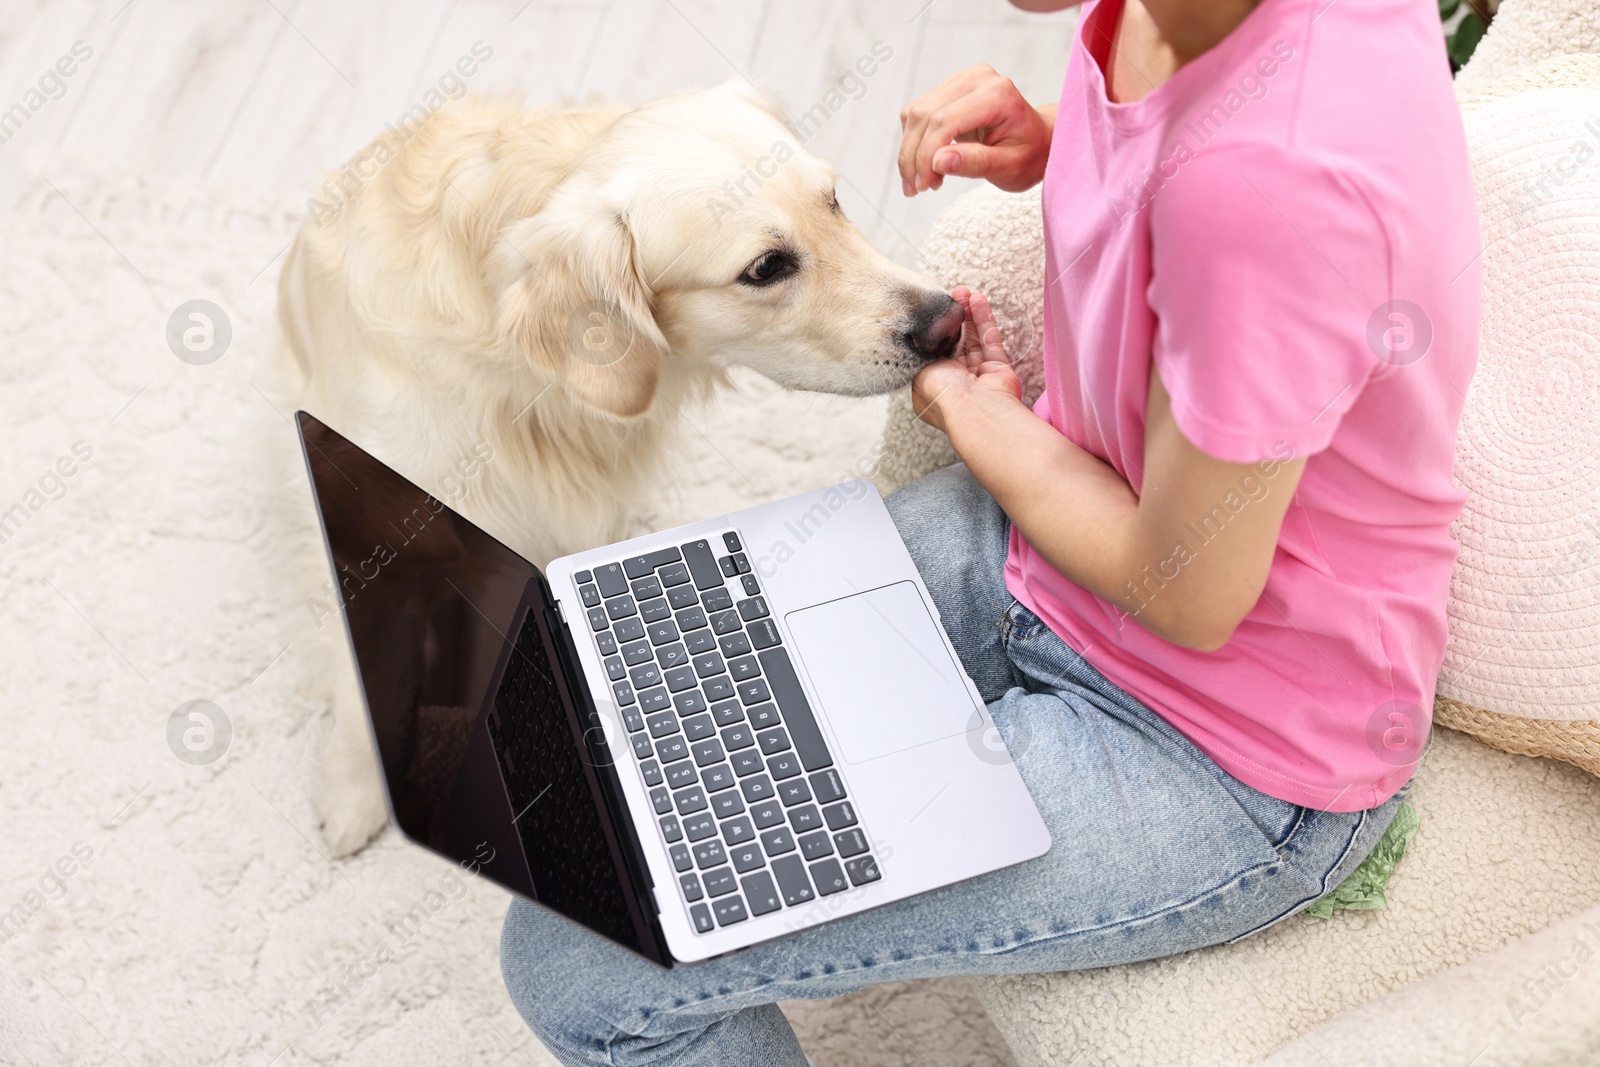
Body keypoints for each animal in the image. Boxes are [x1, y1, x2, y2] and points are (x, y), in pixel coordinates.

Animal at [278, 79, 960, 857]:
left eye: (835, 201)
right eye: (765, 268)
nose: (949, 322)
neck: (531, 395)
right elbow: (366, 657)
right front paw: (356, 789)